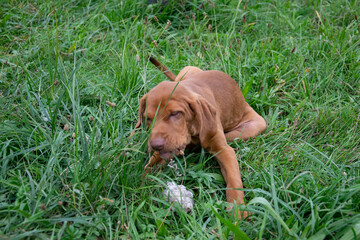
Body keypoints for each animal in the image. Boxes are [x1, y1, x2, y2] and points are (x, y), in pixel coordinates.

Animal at [135, 57, 268, 218]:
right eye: (148, 118)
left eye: (175, 113)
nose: (155, 145)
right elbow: (149, 167)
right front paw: (142, 185)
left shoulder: (224, 150)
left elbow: (233, 179)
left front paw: (237, 209)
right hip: (188, 69)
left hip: (256, 125)